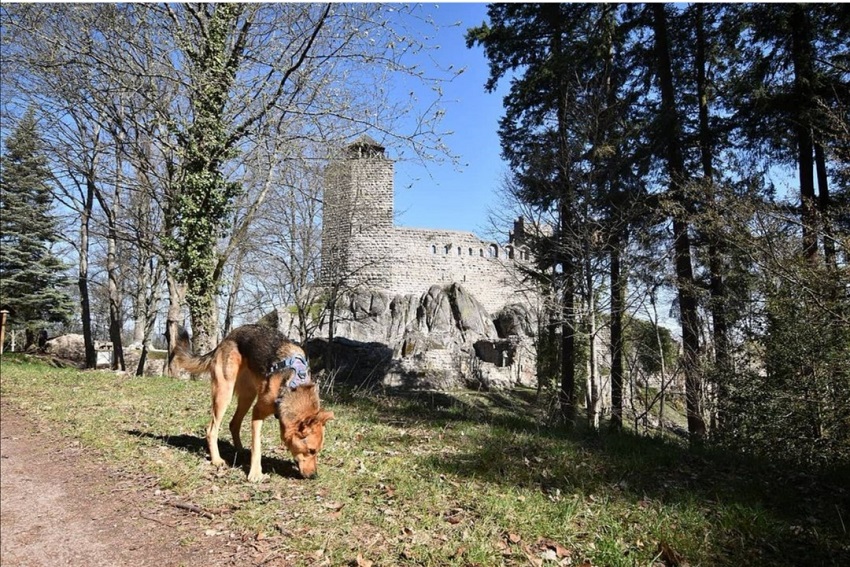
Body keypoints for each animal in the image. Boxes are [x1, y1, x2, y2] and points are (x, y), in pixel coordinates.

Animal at [172, 326, 332, 482]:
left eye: (317, 452)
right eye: (311, 450)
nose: (314, 476)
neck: (293, 386)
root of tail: (227, 337)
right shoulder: (258, 412)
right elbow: (256, 446)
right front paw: (255, 474)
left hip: (247, 397)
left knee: (233, 423)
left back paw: (240, 451)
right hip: (224, 394)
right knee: (211, 430)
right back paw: (216, 460)